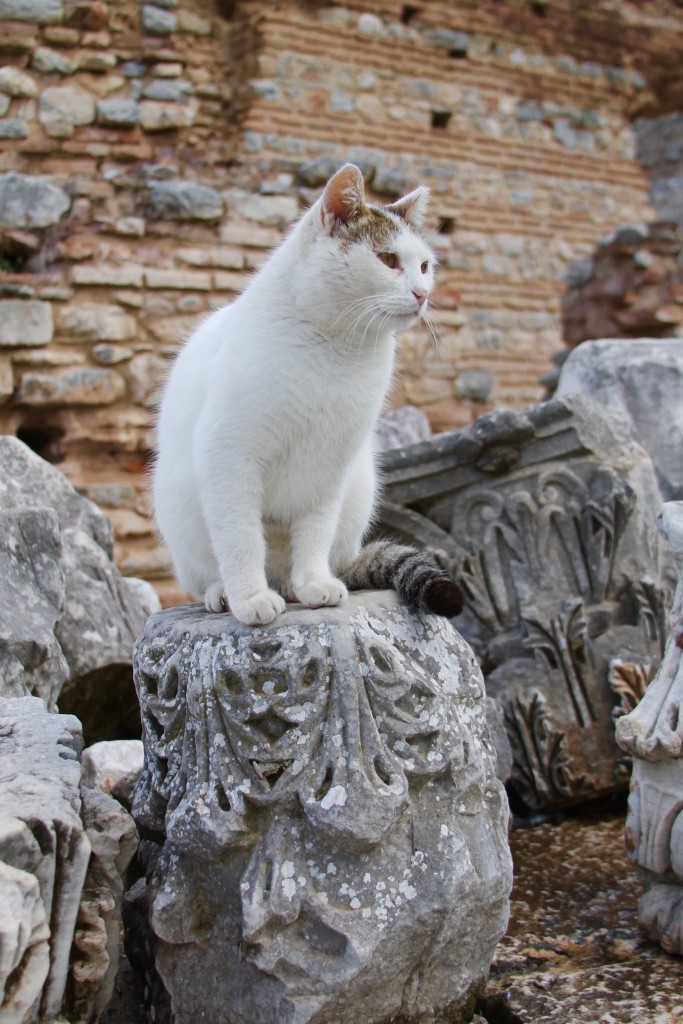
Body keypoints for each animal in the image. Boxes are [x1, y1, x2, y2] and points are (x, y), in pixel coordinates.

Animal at [153, 161, 464, 622]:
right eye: (388, 259)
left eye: (425, 266)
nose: (423, 294)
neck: (335, 349)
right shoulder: (229, 458)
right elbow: (241, 538)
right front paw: (250, 597)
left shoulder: (329, 465)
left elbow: (315, 532)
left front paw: (313, 583)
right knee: (211, 568)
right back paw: (224, 593)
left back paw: (296, 585)